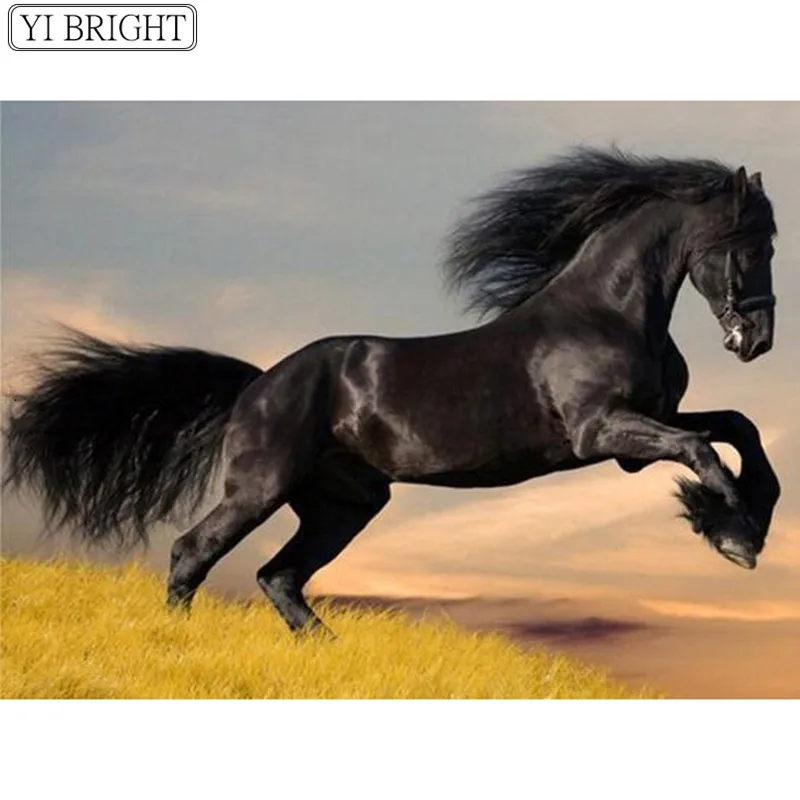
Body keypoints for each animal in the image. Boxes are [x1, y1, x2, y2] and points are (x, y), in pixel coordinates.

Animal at [3, 147, 781, 636]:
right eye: (751, 244)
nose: (758, 340)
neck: (606, 312)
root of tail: (259, 384)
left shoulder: (641, 430)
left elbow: (737, 427)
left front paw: (744, 519)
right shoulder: (603, 433)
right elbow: (702, 450)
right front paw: (733, 534)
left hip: (345, 504)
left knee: (279, 576)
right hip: (261, 487)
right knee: (194, 552)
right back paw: (179, 640)